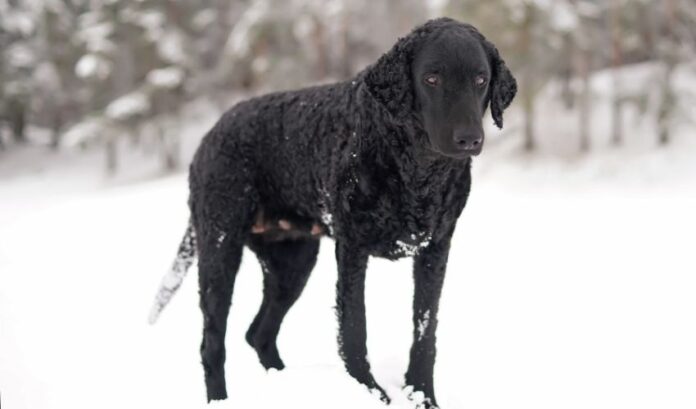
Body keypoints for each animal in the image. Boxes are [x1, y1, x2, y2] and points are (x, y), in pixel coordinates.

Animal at [150, 17, 512, 406]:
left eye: (481, 79)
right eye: (432, 78)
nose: (469, 139)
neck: (416, 170)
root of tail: (208, 137)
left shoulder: (435, 249)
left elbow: (424, 333)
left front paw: (422, 397)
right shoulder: (352, 249)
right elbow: (354, 330)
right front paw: (371, 394)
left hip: (293, 263)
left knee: (259, 334)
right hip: (220, 250)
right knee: (213, 344)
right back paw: (222, 398)